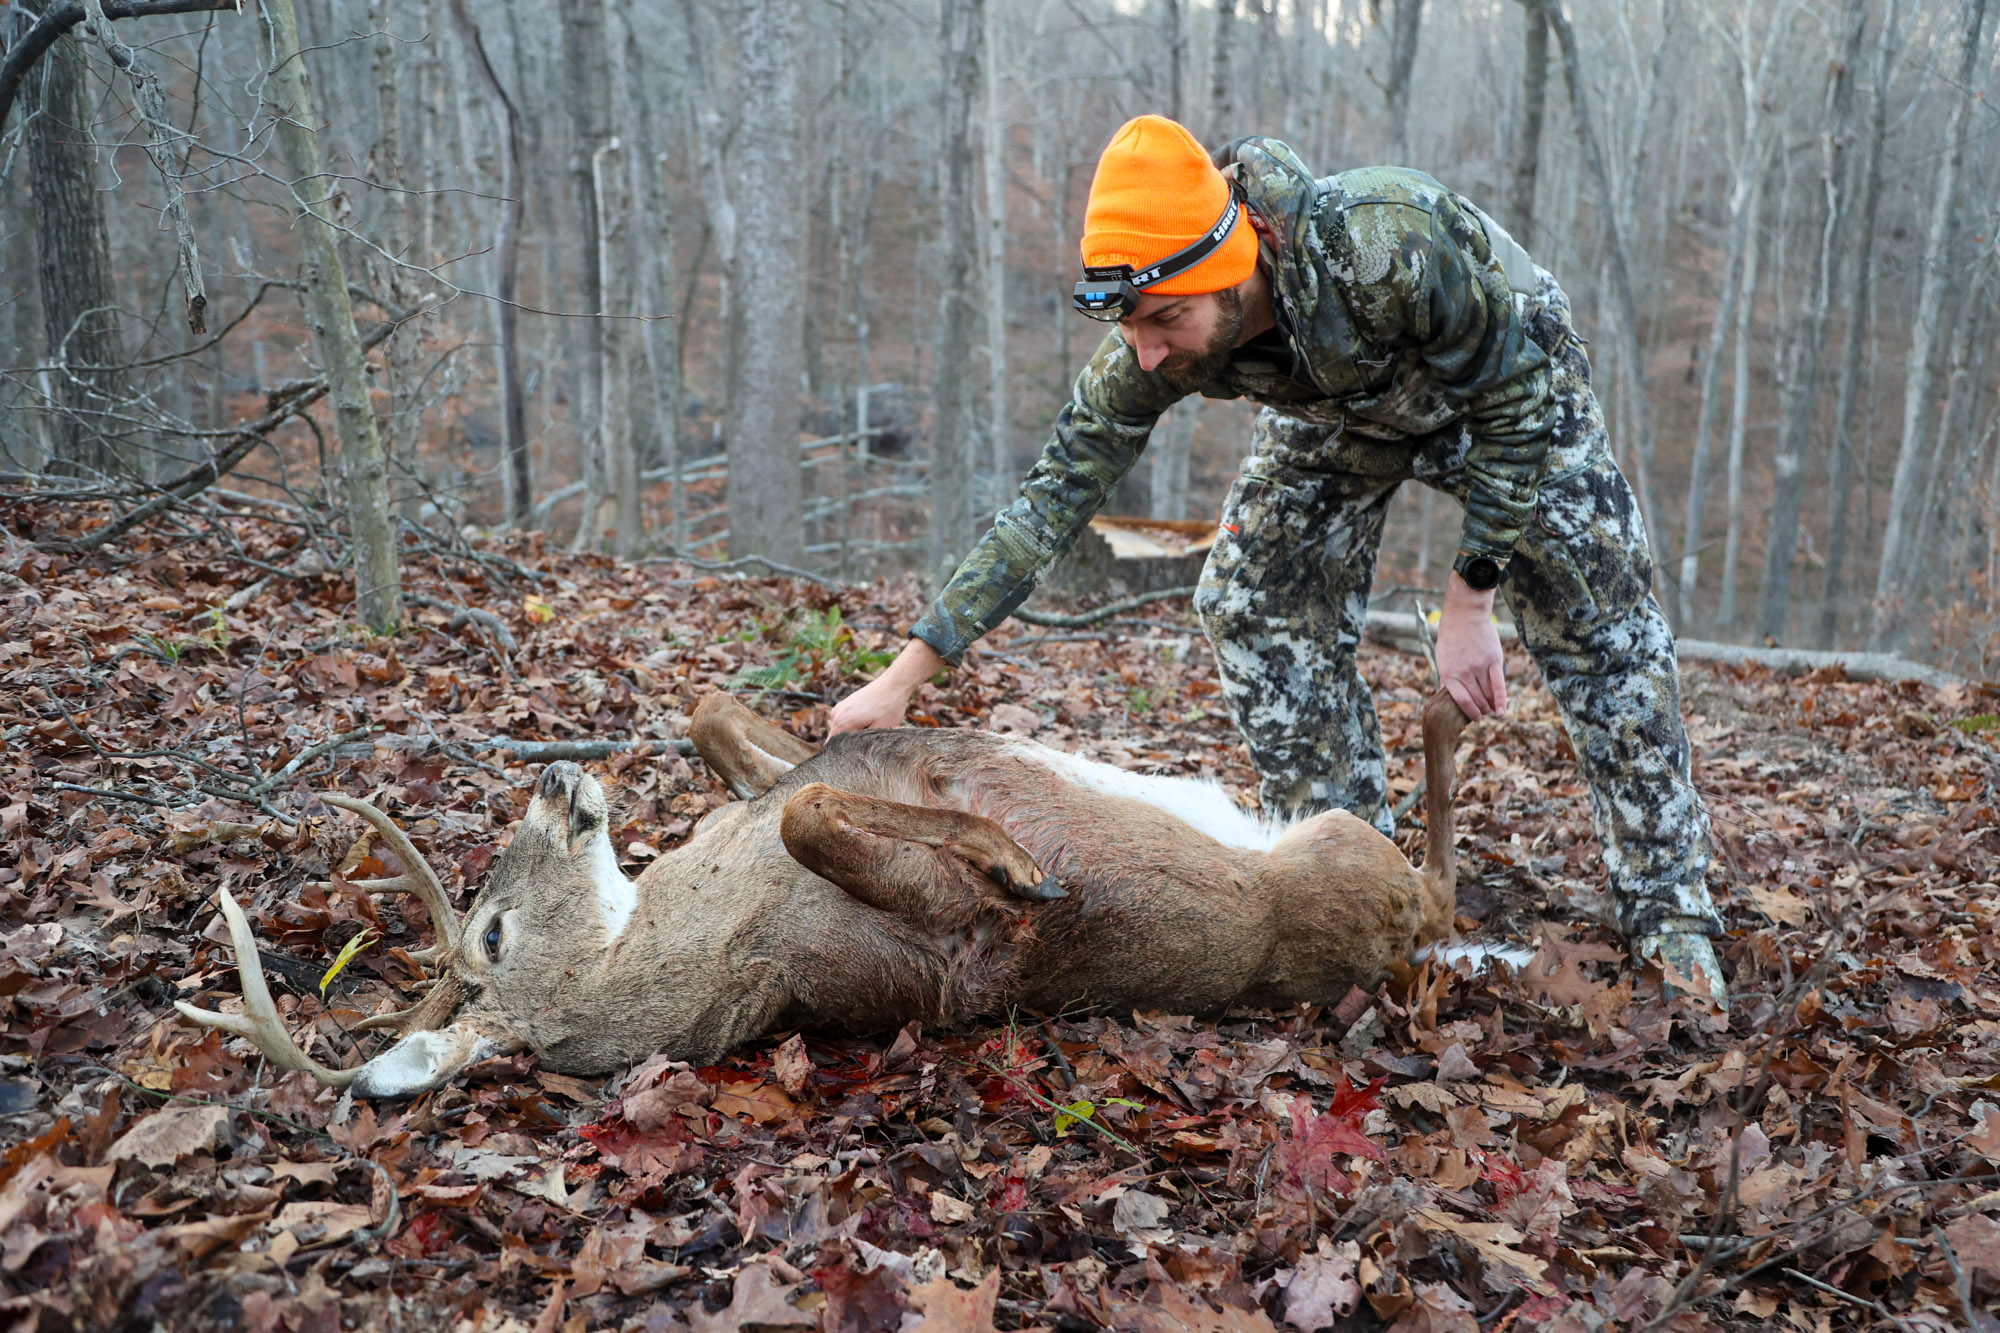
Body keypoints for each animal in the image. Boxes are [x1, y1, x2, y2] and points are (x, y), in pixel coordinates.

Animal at [176, 684, 1472, 1088]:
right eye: (489, 933)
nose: (554, 782)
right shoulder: (936, 936)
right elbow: (819, 816)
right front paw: (1017, 861)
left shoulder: (783, 774)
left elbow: (749, 737)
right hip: (1346, 855)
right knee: (1440, 887)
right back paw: (1450, 690)